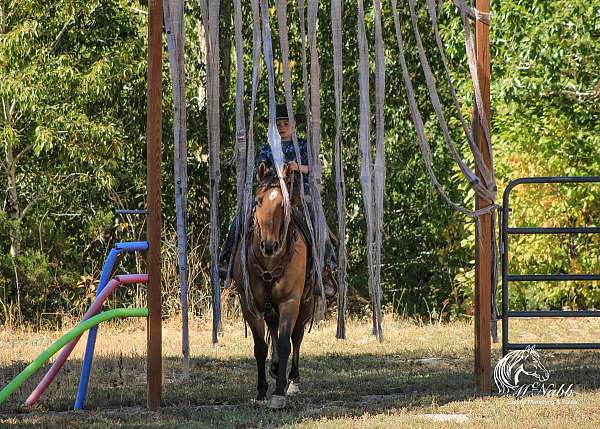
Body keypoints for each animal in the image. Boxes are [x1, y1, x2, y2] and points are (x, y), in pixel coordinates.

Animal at [231, 161, 316, 408]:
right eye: (258, 201)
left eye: (283, 204)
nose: (269, 245)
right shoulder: (249, 305)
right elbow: (261, 347)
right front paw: (261, 391)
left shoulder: (290, 302)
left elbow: (286, 343)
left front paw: (278, 393)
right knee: (274, 328)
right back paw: (276, 368)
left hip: (305, 304)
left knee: (296, 337)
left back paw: (293, 380)